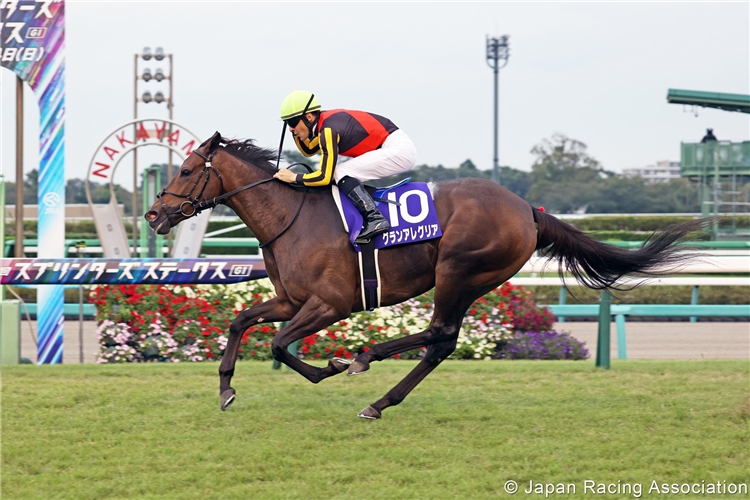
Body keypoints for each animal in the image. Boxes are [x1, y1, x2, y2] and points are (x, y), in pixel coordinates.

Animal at [145, 132, 704, 418]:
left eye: (187, 170)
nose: (153, 215)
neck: (293, 216)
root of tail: (527, 208)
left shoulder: (331, 303)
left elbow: (281, 345)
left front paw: (329, 367)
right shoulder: (291, 300)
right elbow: (241, 323)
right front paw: (225, 390)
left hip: (459, 269)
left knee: (439, 333)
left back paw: (365, 362)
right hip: (471, 280)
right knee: (441, 342)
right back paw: (379, 398)